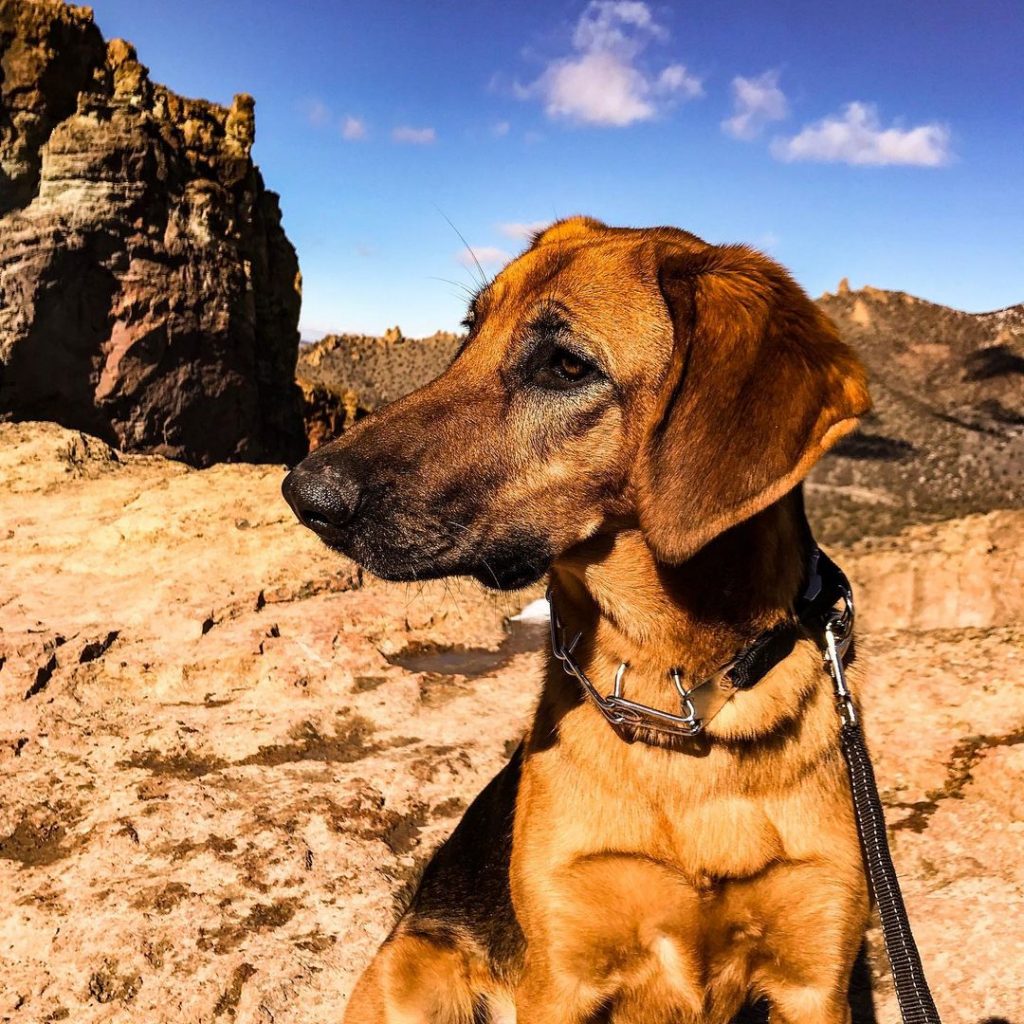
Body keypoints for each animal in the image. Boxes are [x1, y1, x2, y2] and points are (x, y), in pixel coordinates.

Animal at [282, 218, 872, 1024]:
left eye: (565, 366)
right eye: (470, 331)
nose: (303, 492)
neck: (674, 698)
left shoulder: (815, 980)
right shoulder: (561, 974)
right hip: (415, 970)